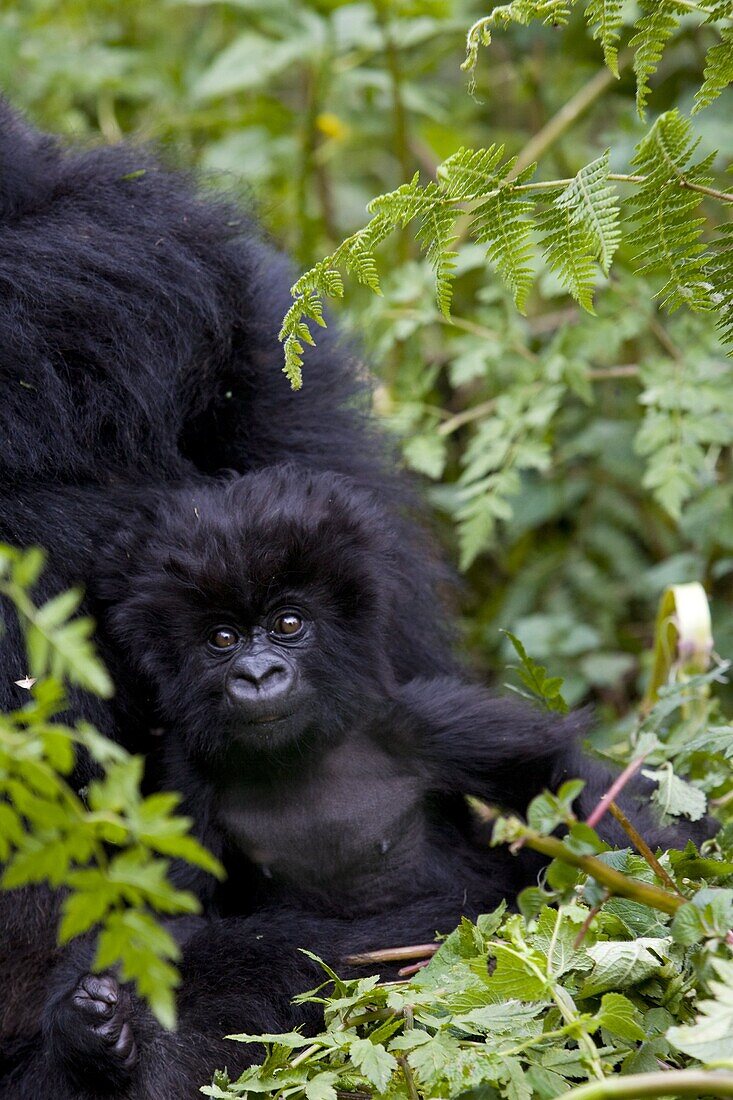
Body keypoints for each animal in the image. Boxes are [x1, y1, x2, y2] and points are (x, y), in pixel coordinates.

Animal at [35, 468, 695, 1095]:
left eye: (288, 623)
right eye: (222, 638)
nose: (258, 674)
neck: (299, 754)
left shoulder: (421, 721)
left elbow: (551, 778)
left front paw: (652, 880)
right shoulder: (182, 782)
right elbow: (161, 917)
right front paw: (86, 1025)